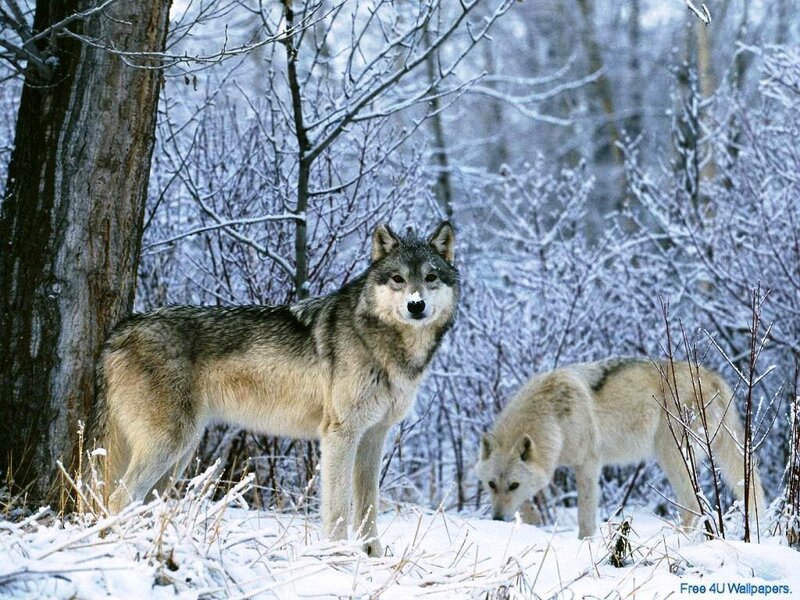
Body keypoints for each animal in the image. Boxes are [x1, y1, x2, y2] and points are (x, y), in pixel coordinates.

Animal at [87, 221, 459, 556]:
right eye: (398, 279)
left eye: (430, 278)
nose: (415, 305)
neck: (384, 343)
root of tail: (118, 332)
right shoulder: (340, 434)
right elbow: (339, 508)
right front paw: (336, 557)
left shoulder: (373, 436)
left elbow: (368, 508)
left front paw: (372, 558)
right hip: (170, 445)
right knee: (118, 497)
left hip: (180, 454)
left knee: (141, 502)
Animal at [475, 358, 766, 538]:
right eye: (491, 485)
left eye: (513, 485)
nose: (497, 518)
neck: (552, 415)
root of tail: (714, 377)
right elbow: (529, 505)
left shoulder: (588, 466)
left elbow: (585, 518)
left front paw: (584, 544)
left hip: (671, 456)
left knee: (692, 505)